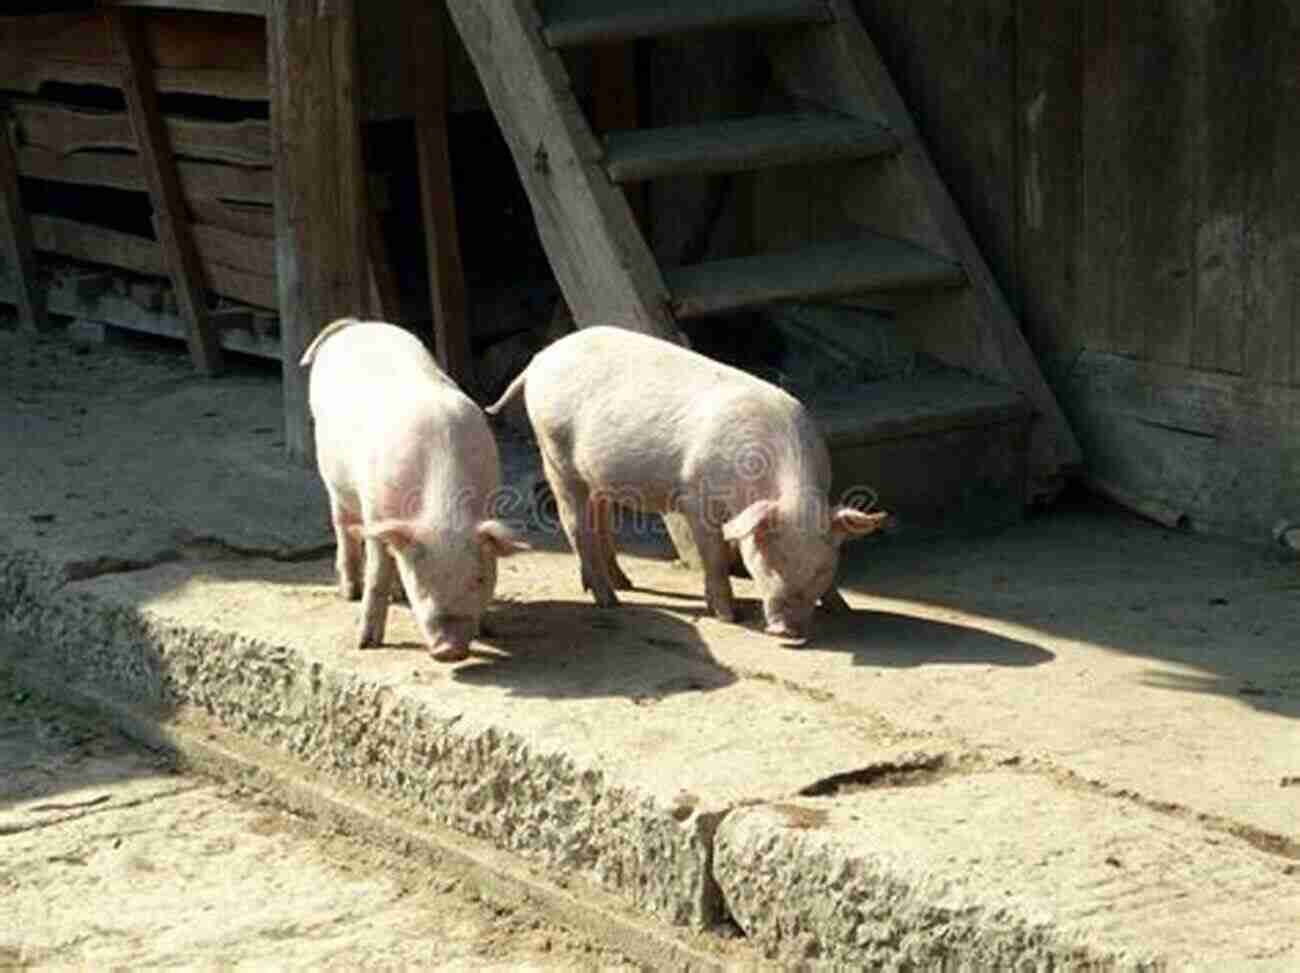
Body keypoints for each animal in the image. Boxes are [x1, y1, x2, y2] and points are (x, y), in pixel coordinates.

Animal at [301, 318, 525, 660]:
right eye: (420, 580)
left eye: (479, 578)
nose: (448, 649)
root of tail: (354, 325)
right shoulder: (375, 509)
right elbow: (377, 572)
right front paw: (366, 643)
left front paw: (489, 631)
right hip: (333, 481)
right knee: (344, 528)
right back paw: (350, 592)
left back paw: (394, 595)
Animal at [483, 325, 889, 637]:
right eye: (767, 560)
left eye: (821, 566)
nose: (784, 630)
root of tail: (540, 358)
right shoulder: (696, 496)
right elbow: (713, 555)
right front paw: (729, 616)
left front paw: (844, 610)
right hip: (554, 453)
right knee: (574, 525)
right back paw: (610, 601)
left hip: (594, 472)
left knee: (601, 521)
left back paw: (624, 583)